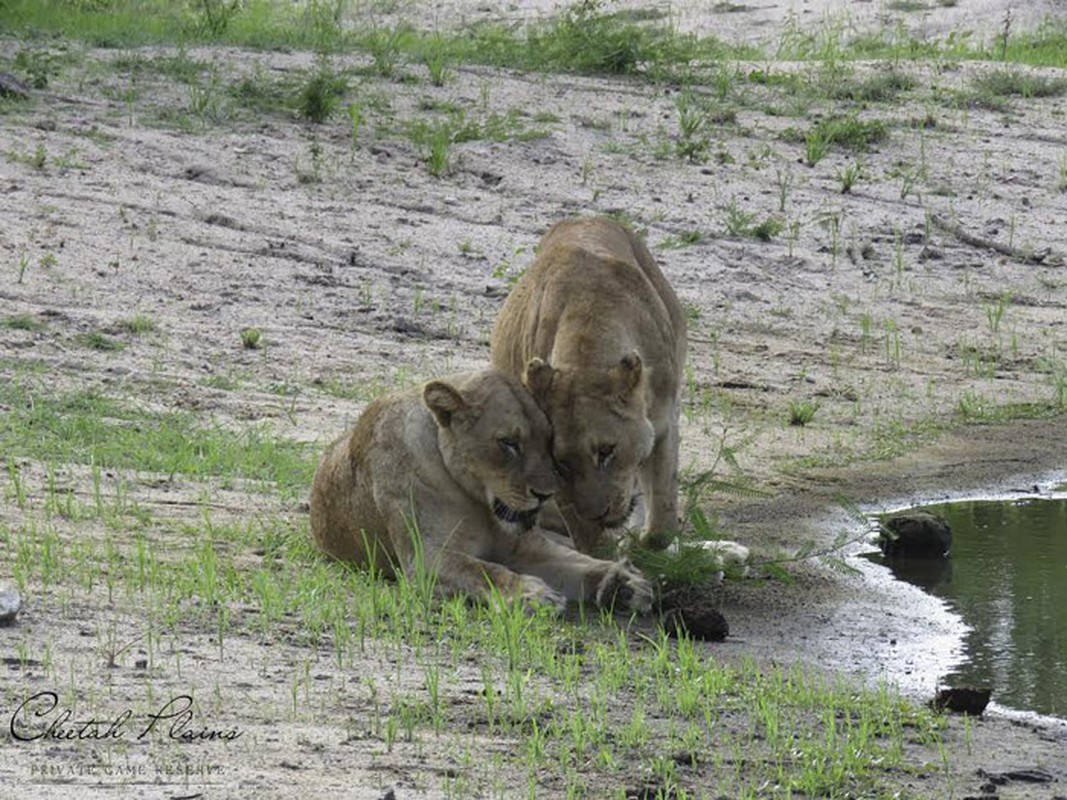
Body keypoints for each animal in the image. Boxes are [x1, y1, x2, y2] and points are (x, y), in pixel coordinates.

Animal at [309, 369, 653, 614]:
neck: (475, 501)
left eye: (548, 441)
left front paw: (623, 582)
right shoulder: (425, 557)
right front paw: (531, 594)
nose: (545, 494)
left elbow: (576, 562)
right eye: (509, 443)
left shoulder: (524, 547)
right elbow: (485, 570)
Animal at [488, 219, 687, 558]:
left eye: (606, 451)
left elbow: (662, 524)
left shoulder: (663, 422)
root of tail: (582, 218)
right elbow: (590, 540)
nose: (599, 514)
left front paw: (641, 543)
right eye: (562, 463)